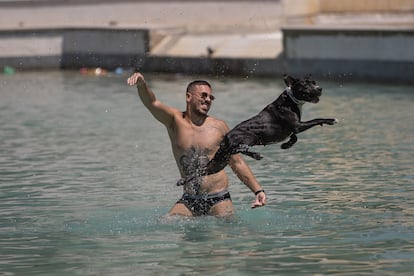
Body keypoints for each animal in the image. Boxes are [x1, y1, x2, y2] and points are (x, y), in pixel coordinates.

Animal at [176, 74, 338, 185]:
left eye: (314, 82)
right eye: (305, 84)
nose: (320, 88)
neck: (291, 100)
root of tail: (225, 138)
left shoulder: (295, 128)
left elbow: (294, 137)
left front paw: (286, 145)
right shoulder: (299, 126)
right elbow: (316, 120)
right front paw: (331, 120)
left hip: (219, 162)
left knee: (205, 170)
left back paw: (183, 181)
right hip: (250, 136)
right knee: (239, 148)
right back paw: (256, 154)